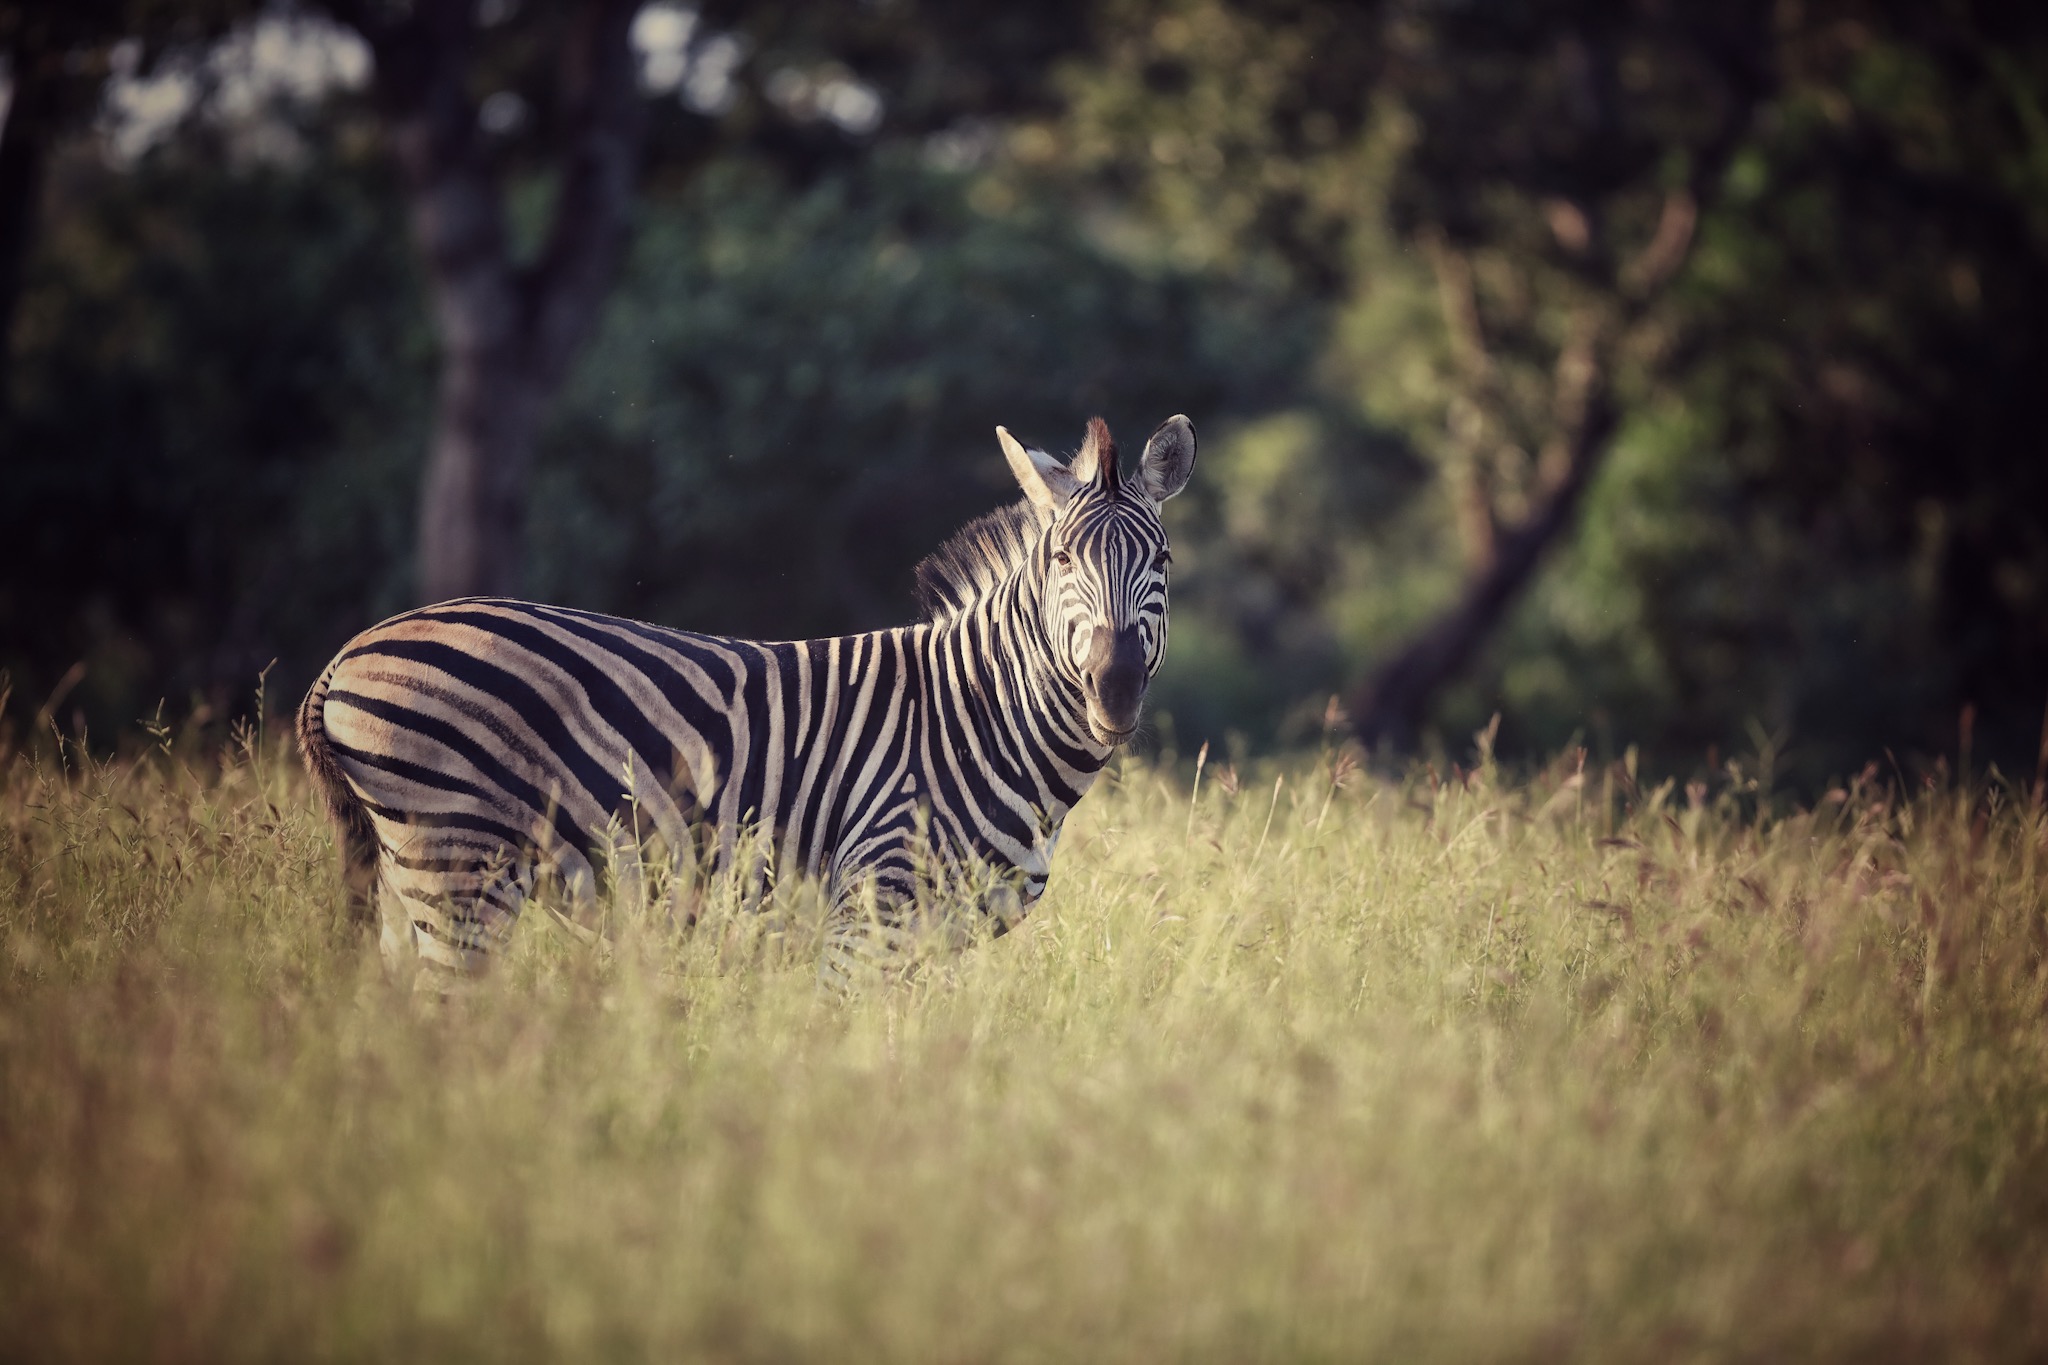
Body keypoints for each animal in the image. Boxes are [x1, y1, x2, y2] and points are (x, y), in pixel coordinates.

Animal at [297, 414, 1197, 989]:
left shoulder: (936, 936)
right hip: (457, 868)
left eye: (1163, 559)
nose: (1115, 687)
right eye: (1061, 559)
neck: (980, 717)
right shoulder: (870, 908)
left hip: (407, 883)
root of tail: (342, 659)